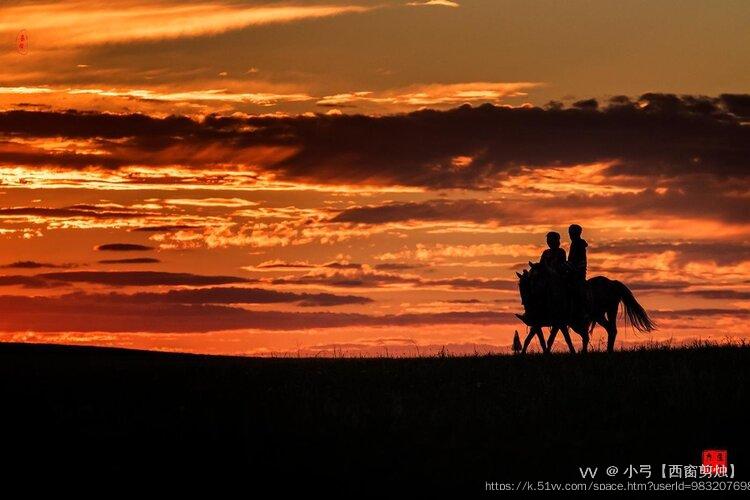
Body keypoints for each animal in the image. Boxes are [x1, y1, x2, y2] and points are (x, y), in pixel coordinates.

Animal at [516, 264, 656, 354]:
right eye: (521, 285)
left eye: (535, 279)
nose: (526, 302)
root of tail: (612, 282)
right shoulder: (546, 323)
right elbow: (533, 338)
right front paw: (524, 354)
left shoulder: (558, 322)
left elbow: (553, 339)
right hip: (598, 316)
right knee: (606, 330)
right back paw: (605, 351)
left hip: (610, 310)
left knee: (609, 330)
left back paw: (606, 351)